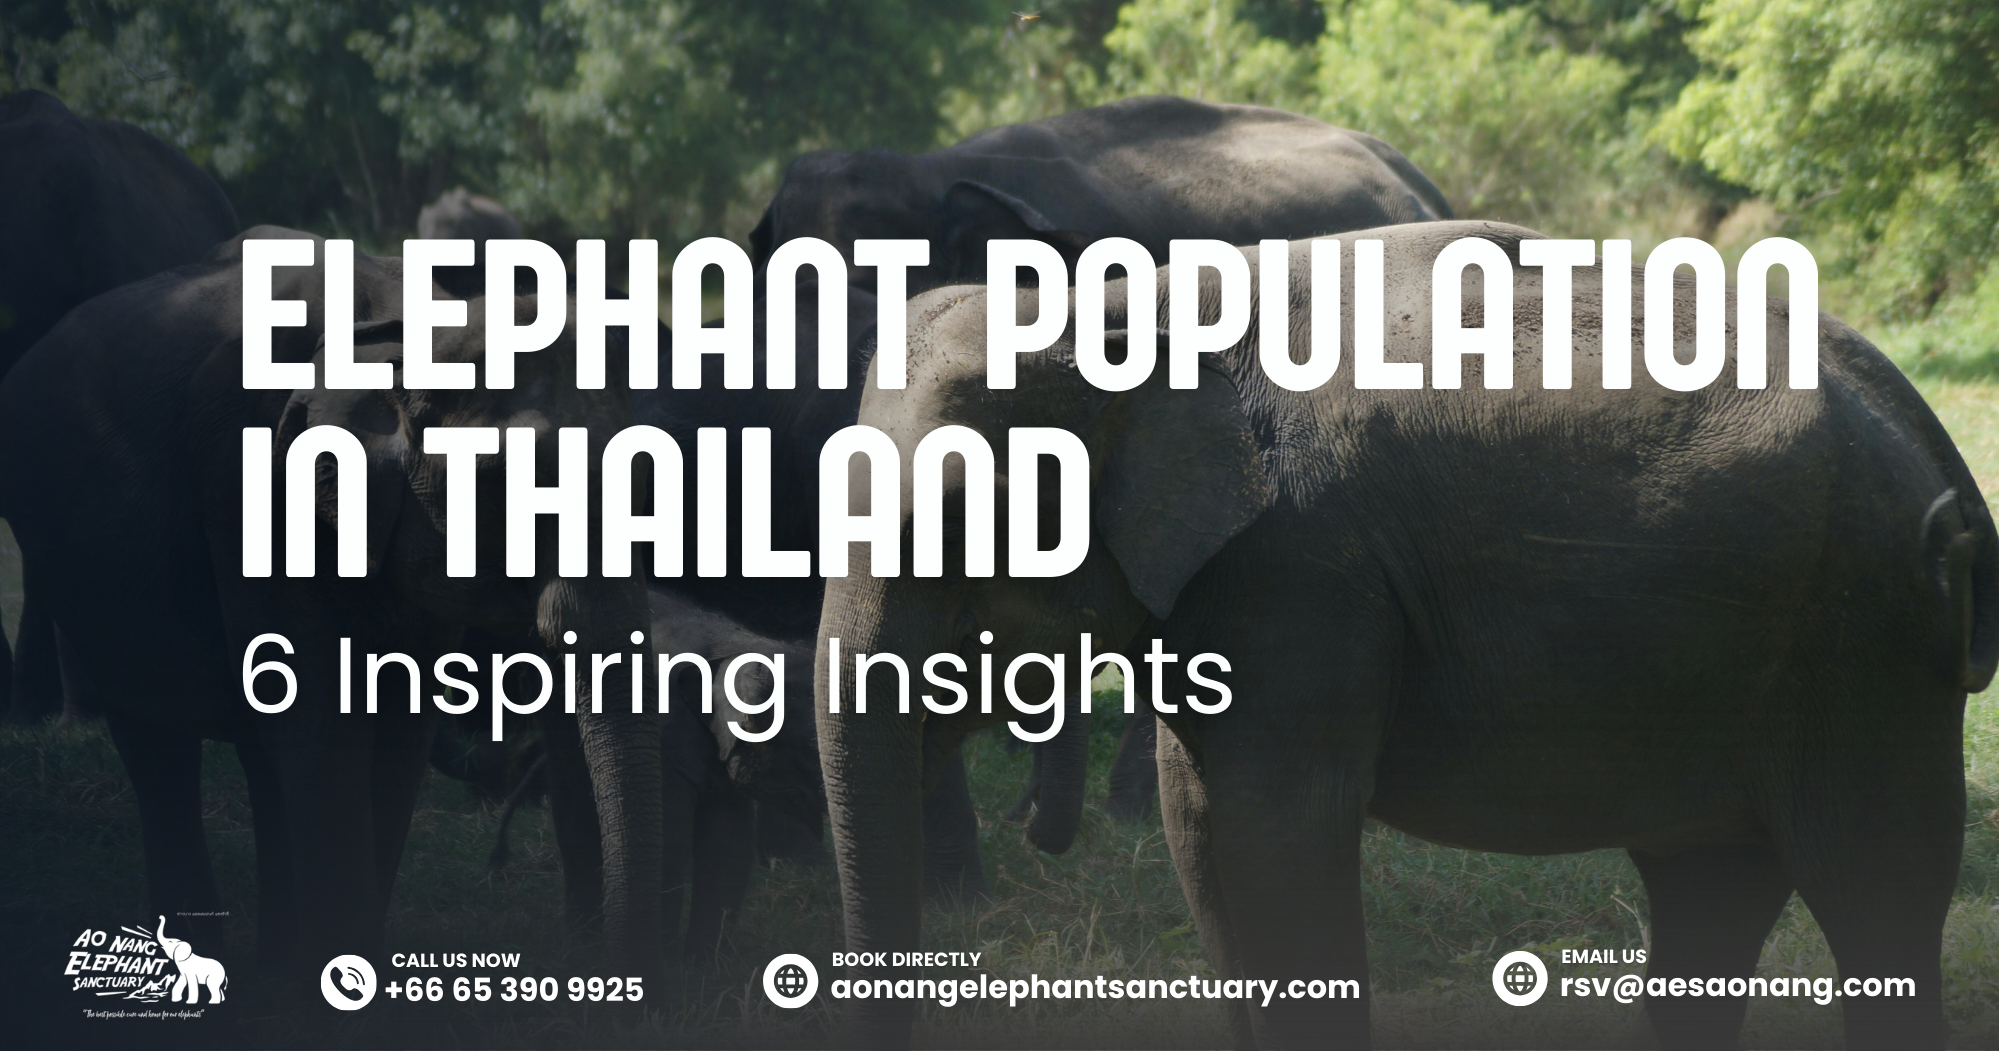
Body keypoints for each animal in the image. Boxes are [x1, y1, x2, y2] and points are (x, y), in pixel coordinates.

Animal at [0, 228, 663, 978]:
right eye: (505, 487)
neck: (401, 333)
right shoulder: (248, 478)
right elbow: (321, 720)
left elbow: (396, 720)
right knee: (157, 740)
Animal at [813, 219, 1992, 1050]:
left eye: (959, 519)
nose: (1037, 835)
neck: (1113, 302)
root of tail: (1934, 450)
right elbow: (1199, 831)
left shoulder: (1300, 570)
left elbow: (1277, 831)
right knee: (1710, 884)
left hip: (1860, 644)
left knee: (1873, 889)